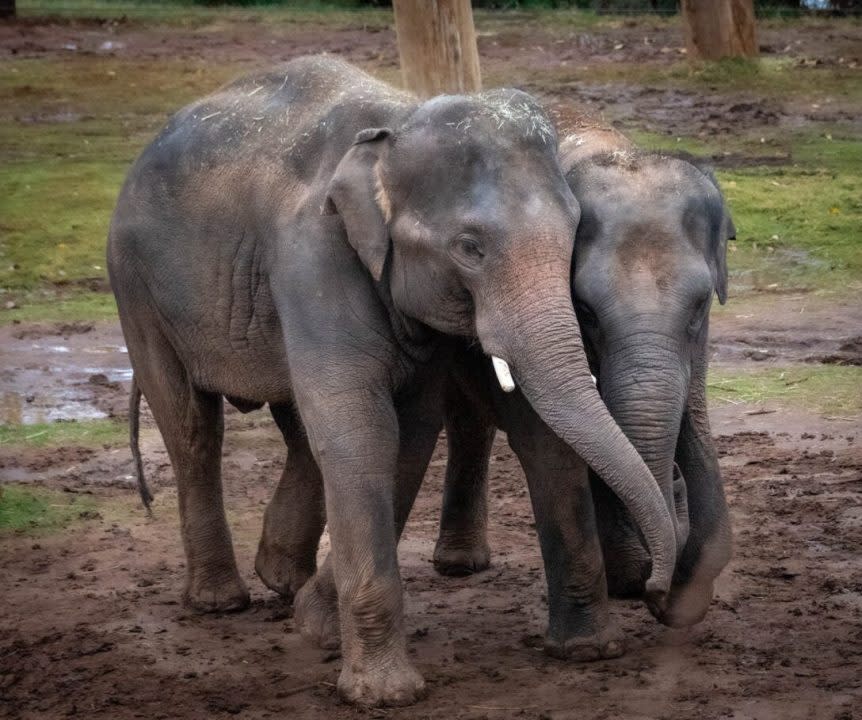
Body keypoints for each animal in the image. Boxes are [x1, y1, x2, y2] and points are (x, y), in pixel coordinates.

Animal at [109, 57, 676, 708]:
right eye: (470, 248)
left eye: (576, 230)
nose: (657, 594)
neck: (398, 122)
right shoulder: (313, 257)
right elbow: (363, 431)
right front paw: (383, 694)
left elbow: (416, 431)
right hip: (135, 285)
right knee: (192, 428)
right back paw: (221, 602)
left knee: (299, 430)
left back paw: (283, 580)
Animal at [438, 126, 736, 628]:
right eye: (587, 311)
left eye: (699, 307)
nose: (659, 594)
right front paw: (629, 580)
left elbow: (693, 420)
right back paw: (459, 565)